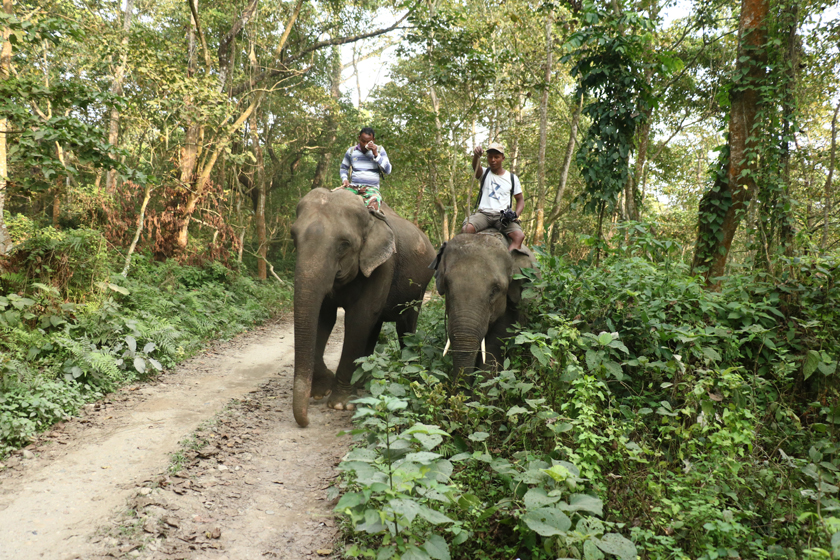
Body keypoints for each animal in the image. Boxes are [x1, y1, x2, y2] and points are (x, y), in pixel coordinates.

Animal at [292, 188, 436, 428]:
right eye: (293, 237)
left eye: (344, 244)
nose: (305, 422)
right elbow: (324, 317)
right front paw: (322, 390)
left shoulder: (384, 265)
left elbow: (359, 318)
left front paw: (340, 404)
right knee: (375, 325)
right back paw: (363, 379)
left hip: (420, 286)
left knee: (405, 325)